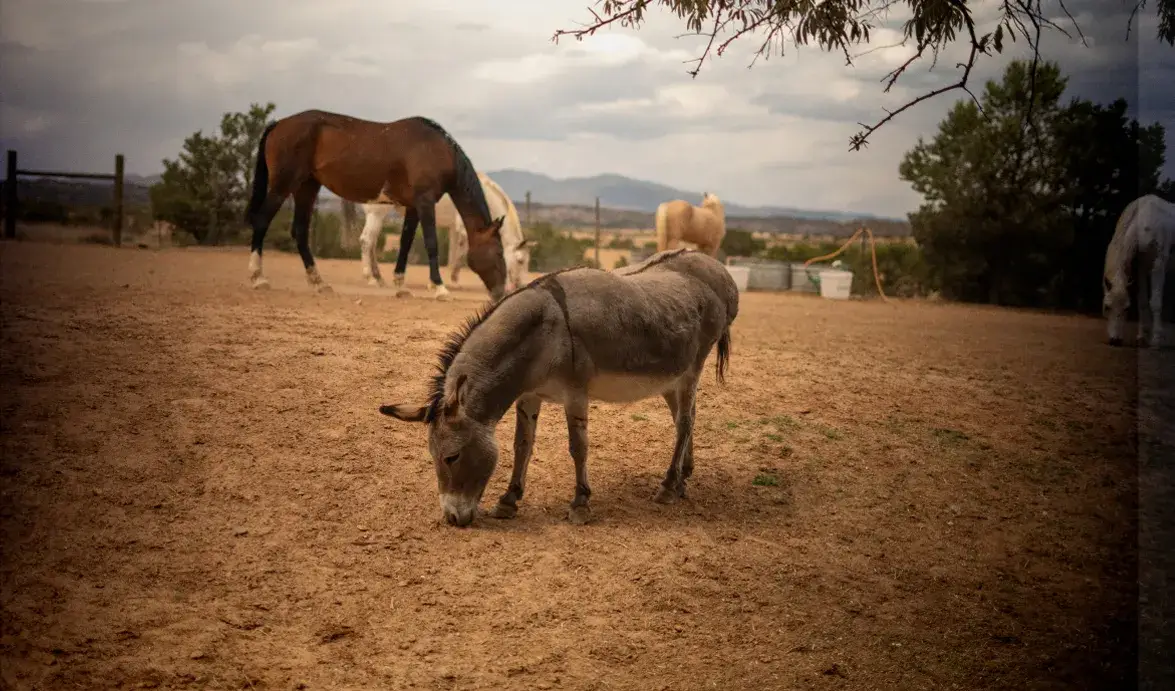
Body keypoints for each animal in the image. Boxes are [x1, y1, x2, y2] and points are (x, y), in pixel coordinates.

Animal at [243, 109, 508, 300]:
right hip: (283, 185)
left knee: (299, 231)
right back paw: (257, 278)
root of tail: (279, 123)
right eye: (498, 251)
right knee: (262, 221)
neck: (436, 150)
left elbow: (405, 243)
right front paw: (440, 288)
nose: (501, 293)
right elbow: (431, 243)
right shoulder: (425, 202)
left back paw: (319, 283)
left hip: (307, 187)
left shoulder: (413, 206)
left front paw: (401, 286)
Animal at [358, 171, 534, 296]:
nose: (520, 286)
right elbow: (460, 255)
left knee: (372, 244)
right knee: (367, 241)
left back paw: (379, 278)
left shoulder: (455, 230)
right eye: (520, 261)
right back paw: (371, 279)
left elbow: (454, 253)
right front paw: (445, 283)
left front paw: (447, 281)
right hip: (377, 213)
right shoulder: (464, 231)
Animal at [379, 248, 740, 528]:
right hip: (670, 378)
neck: (544, 333)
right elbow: (522, 446)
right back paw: (683, 478)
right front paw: (509, 500)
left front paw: (580, 503)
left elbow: (578, 447)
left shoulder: (575, 395)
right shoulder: (529, 396)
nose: (453, 519)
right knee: (686, 417)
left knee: (685, 424)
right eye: (433, 456)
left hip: (692, 370)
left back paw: (667, 486)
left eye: (452, 457)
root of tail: (716, 270)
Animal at [1103, 193, 1175, 348]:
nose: (1115, 340)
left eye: (1127, 308)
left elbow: (1155, 302)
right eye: (1107, 307)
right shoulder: (1140, 268)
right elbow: (1142, 302)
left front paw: (1156, 339)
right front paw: (1142, 337)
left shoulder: (1158, 266)